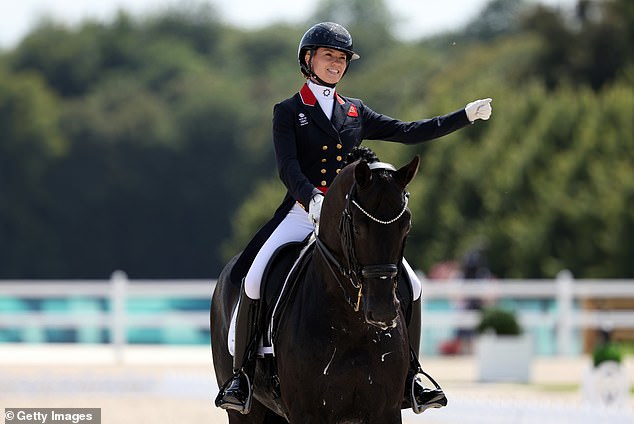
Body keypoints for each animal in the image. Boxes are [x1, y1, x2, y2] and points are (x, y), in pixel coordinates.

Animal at [211, 153, 420, 424]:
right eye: (358, 227)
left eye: (406, 225)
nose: (383, 310)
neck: (351, 325)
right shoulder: (307, 413)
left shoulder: (387, 411)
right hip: (244, 412)